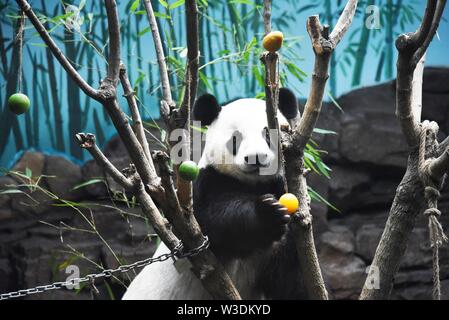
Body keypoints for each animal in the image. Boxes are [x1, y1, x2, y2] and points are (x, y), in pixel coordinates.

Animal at [121, 89, 308, 302]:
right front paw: (269, 213)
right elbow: (214, 219)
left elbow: (287, 276)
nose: (255, 157)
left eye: (268, 134)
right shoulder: (207, 184)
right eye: (235, 139)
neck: (253, 184)